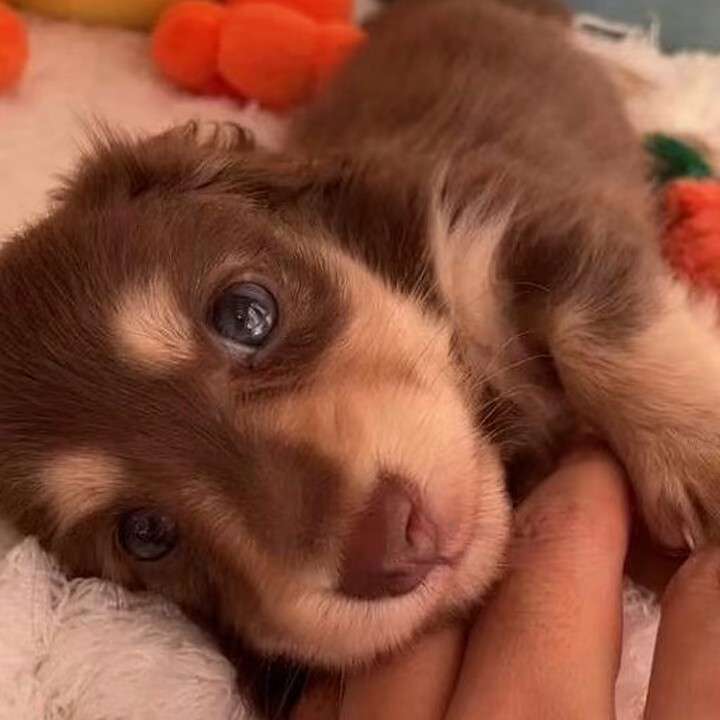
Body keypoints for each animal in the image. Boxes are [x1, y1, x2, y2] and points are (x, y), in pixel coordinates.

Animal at [1, 0, 717, 715]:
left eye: (245, 313)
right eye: (146, 534)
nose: (392, 549)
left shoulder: (512, 219)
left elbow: (598, 325)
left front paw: (699, 450)